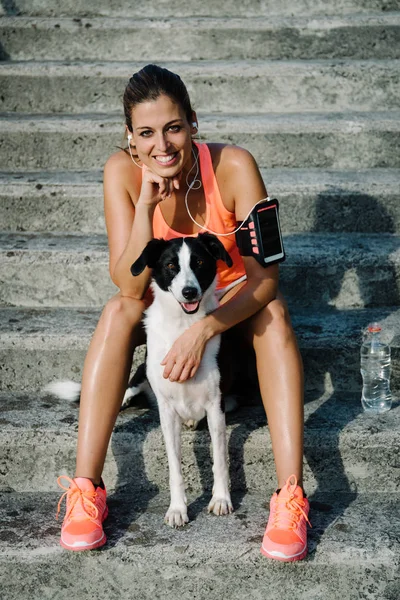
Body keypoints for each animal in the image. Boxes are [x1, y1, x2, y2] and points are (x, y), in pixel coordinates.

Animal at [130, 233, 234, 524]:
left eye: (199, 262)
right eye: (170, 266)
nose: (189, 292)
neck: (182, 327)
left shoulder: (216, 405)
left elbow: (219, 459)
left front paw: (221, 499)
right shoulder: (166, 411)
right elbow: (174, 466)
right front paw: (177, 508)